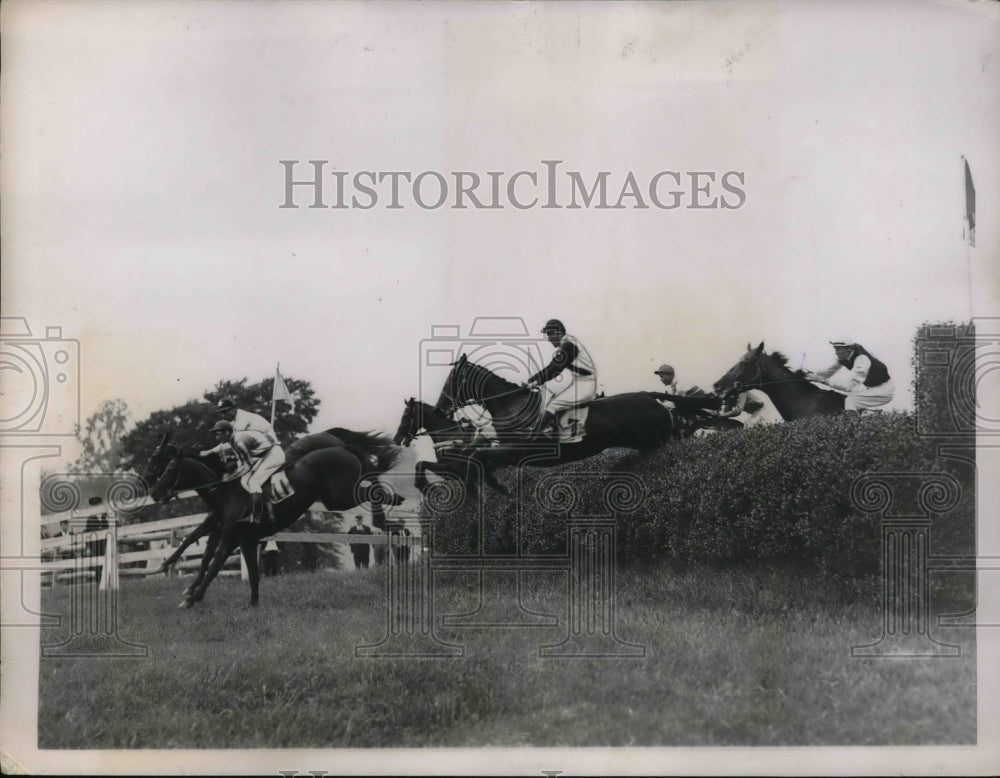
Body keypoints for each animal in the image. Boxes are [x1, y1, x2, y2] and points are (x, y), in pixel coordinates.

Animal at [145, 428, 402, 604]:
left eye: (166, 465)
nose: (154, 491)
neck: (226, 492)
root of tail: (341, 446)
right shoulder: (235, 535)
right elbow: (218, 559)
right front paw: (252, 604)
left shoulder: (229, 536)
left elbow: (214, 563)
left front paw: (191, 597)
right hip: (335, 498)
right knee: (371, 478)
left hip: (342, 495)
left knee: (373, 488)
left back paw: (387, 511)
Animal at [430, 354, 696, 492]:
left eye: (450, 381)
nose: (439, 410)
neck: (511, 405)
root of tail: (651, 396)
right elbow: (475, 453)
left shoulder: (519, 451)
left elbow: (479, 455)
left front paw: (496, 487)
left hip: (657, 442)